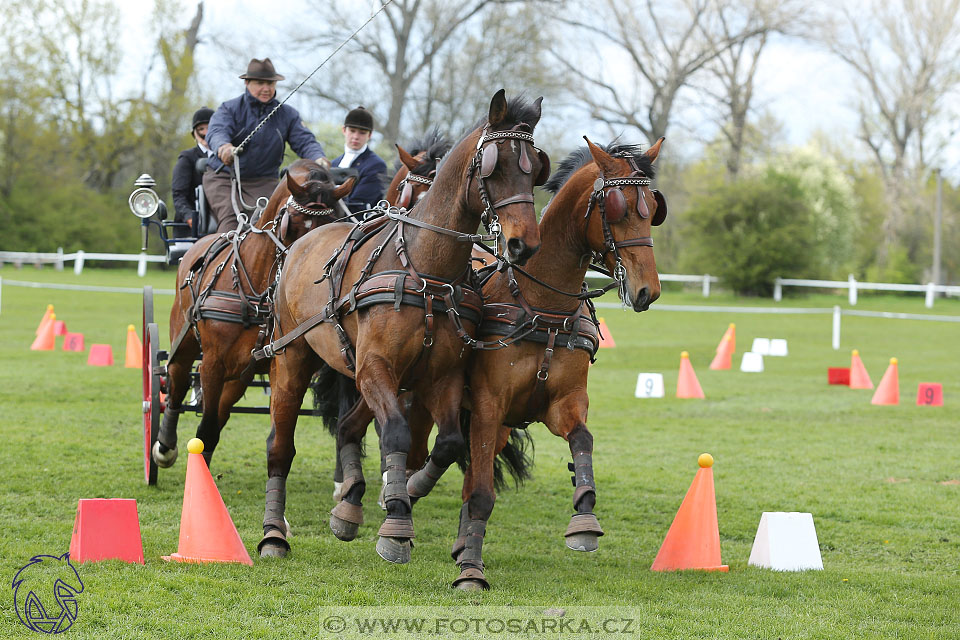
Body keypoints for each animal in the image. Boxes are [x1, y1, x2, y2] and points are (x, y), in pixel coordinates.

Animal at [154, 160, 356, 470]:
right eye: (292, 224)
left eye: (333, 223)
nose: (306, 270)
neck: (256, 286)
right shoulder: (212, 363)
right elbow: (206, 423)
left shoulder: (272, 363)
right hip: (184, 339)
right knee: (176, 381)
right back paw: (164, 446)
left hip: (240, 372)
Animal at [255, 90, 552, 560]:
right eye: (495, 165)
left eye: (534, 169)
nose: (525, 244)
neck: (426, 269)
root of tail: (296, 248)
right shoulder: (375, 367)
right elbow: (394, 432)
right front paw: (395, 522)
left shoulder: (440, 376)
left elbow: (447, 443)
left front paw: (406, 490)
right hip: (292, 360)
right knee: (280, 447)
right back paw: (273, 533)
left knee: (349, 427)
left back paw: (349, 505)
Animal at [410, 136, 668, 592]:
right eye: (615, 208)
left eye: (652, 208)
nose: (647, 291)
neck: (543, 306)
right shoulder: (489, 406)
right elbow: (482, 492)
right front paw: (471, 570)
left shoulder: (561, 402)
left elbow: (583, 440)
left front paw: (584, 516)